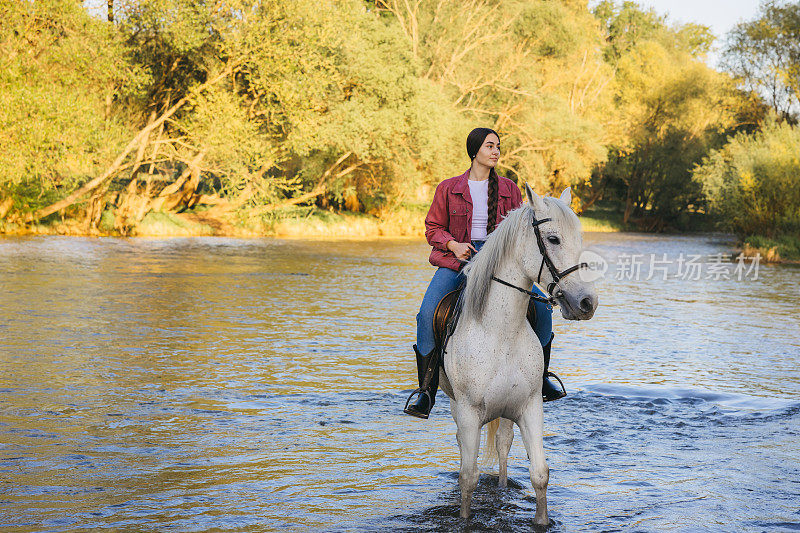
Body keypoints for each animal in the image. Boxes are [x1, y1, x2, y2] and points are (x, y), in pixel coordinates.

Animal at [438, 183, 600, 524]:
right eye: (553, 239)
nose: (587, 302)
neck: (500, 332)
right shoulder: (469, 412)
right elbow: (468, 477)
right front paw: (464, 517)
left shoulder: (530, 407)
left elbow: (540, 473)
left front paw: (541, 520)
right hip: (456, 406)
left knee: (502, 445)